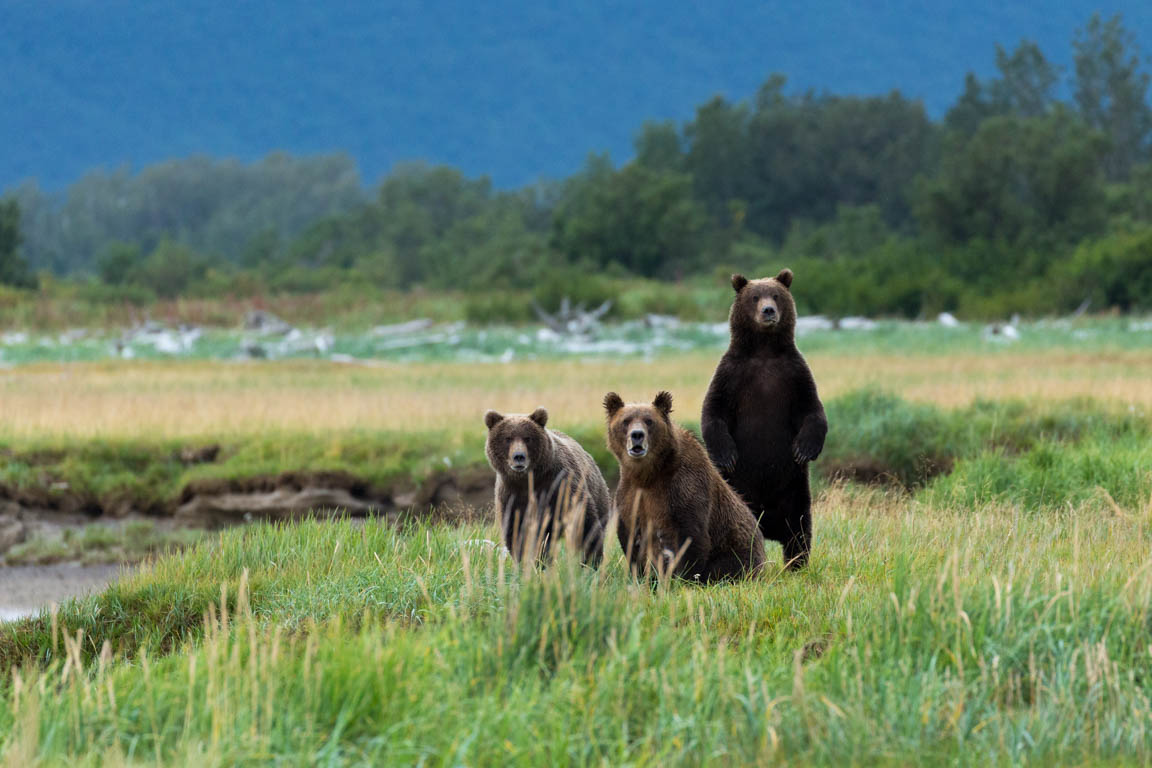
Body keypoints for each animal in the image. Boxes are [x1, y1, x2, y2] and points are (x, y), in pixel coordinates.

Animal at [483, 407, 612, 564]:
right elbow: (516, 531)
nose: (519, 456)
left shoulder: (559, 483)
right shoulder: (511, 494)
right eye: (507, 438)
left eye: (527, 438)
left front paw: (591, 560)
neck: (528, 479)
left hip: (600, 497)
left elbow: (583, 520)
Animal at [603, 391, 764, 582]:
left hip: (736, 549)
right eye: (626, 421)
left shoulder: (682, 488)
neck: (648, 474)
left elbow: (691, 536)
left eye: (649, 421)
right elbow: (631, 537)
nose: (637, 435)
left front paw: (682, 578)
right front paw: (641, 576)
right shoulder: (630, 494)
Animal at [695, 270, 824, 571]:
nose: (768, 311)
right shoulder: (732, 374)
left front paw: (805, 449)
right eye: (755, 297)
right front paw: (727, 454)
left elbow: (812, 410)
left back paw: (796, 563)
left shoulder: (793, 374)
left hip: (794, 489)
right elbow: (713, 410)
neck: (764, 350)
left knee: (800, 527)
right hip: (736, 491)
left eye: (775, 295)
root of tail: (768, 526)